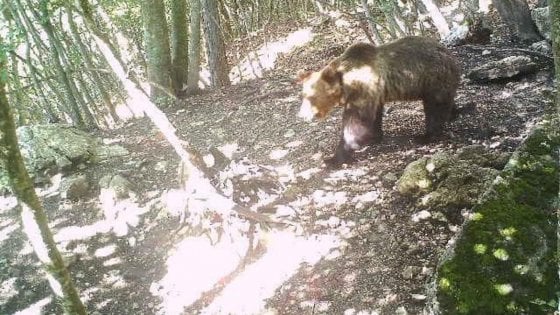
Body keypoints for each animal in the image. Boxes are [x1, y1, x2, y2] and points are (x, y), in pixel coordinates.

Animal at [298, 36, 460, 167]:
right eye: (303, 95)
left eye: (311, 97)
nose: (301, 115)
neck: (345, 84)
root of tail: (448, 53)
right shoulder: (374, 93)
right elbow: (374, 115)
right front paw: (373, 137)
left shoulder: (362, 87)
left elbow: (355, 121)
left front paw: (334, 158)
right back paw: (454, 113)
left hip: (431, 78)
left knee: (435, 107)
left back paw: (425, 136)